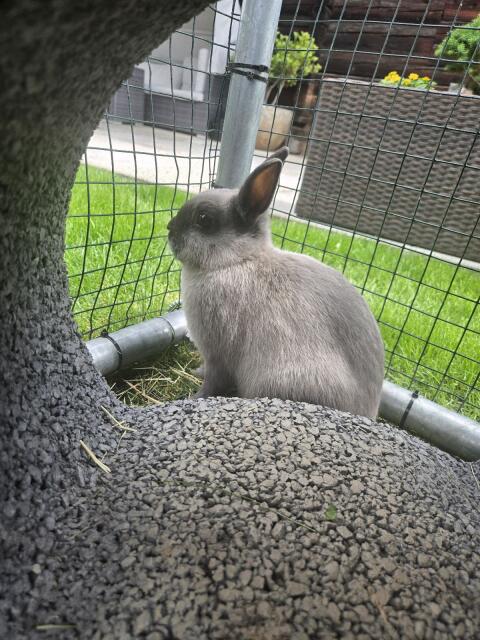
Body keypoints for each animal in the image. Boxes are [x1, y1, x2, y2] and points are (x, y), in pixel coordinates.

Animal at [167, 147, 384, 418]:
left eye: (204, 219)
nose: (169, 229)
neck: (236, 260)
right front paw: (195, 372)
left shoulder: (218, 353)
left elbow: (213, 382)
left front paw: (194, 397)